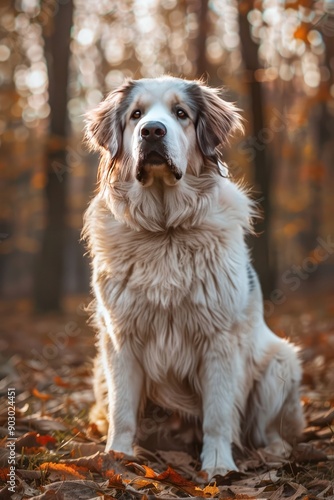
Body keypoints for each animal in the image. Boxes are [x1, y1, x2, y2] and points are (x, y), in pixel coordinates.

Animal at [83, 76, 306, 478]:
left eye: (180, 114)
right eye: (136, 115)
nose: (152, 131)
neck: (166, 231)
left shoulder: (220, 339)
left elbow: (218, 413)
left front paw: (218, 464)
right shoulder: (121, 338)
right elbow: (122, 410)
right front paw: (117, 458)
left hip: (279, 362)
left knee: (265, 428)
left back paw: (274, 451)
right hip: (100, 371)